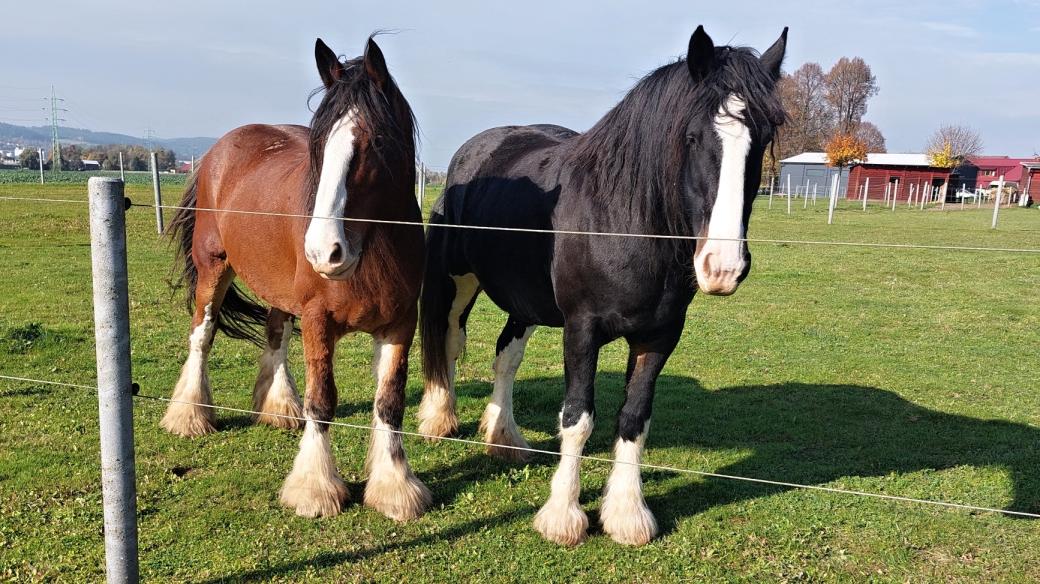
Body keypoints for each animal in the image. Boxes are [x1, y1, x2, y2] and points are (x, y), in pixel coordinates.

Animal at [160, 37, 428, 517]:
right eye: (319, 145)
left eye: (377, 141)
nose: (324, 251)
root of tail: (217, 152)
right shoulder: (319, 319)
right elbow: (322, 401)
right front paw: (314, 488)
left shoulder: (400, 324)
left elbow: (390, 402)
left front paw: (395, 487)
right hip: (214, 268)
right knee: (202, 335)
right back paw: (189, 415)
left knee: (275, 331)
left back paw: (279, 406)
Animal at [420, 26, 786, 544]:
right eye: (692, 136)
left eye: (764, 138)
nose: (722, 266)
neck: (624, 223)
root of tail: (478, 149)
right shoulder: (582, 330)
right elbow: (577, 418)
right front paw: (562, 516)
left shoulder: (660, 335)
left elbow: (634, 418)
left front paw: (628, 513)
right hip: (456, 280)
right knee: (448, 339)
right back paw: (439, 417)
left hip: (526, 302)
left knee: (505, 357)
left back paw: (503, 437)